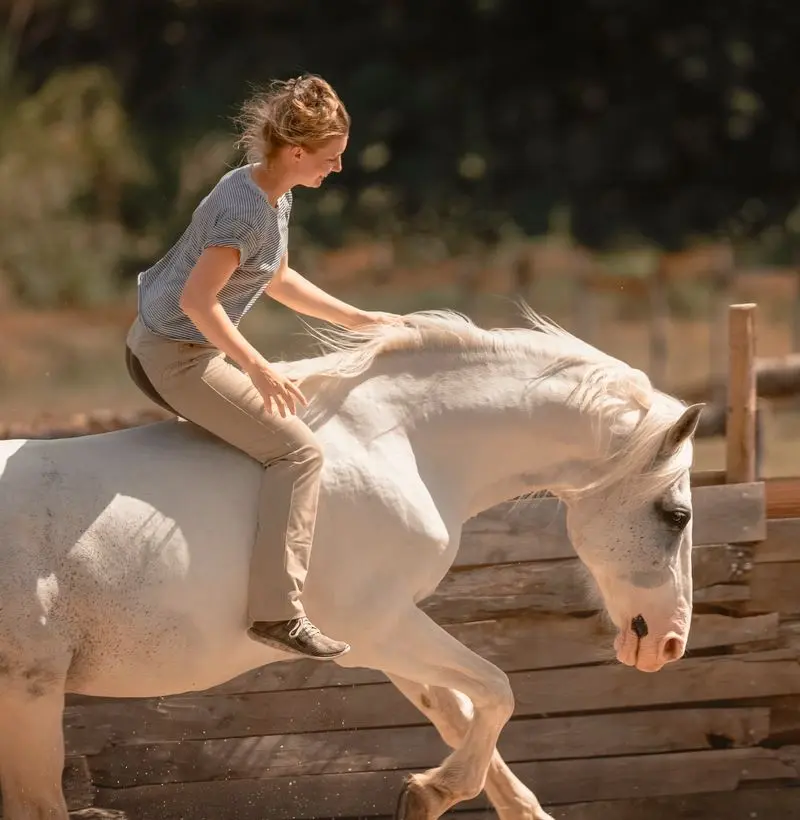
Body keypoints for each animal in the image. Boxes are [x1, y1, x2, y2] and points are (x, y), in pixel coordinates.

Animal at [0, 305, 703, 820]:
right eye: (677, 516)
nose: (667, 645)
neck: (402, 443)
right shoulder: (381, 626)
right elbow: (496, 692)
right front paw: (429, 794)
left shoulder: (381, 640)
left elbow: (461, 713)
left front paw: (444, 793)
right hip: (29, 695)